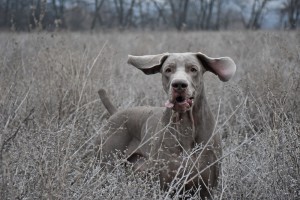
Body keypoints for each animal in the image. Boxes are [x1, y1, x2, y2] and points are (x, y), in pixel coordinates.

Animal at [96, 51, 237, 198]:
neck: (185, 126)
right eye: (168, 70)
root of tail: (115, 113)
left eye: (193, 69)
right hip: (106, 165)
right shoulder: (164, 185)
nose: (179, 84)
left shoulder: (207, 188)